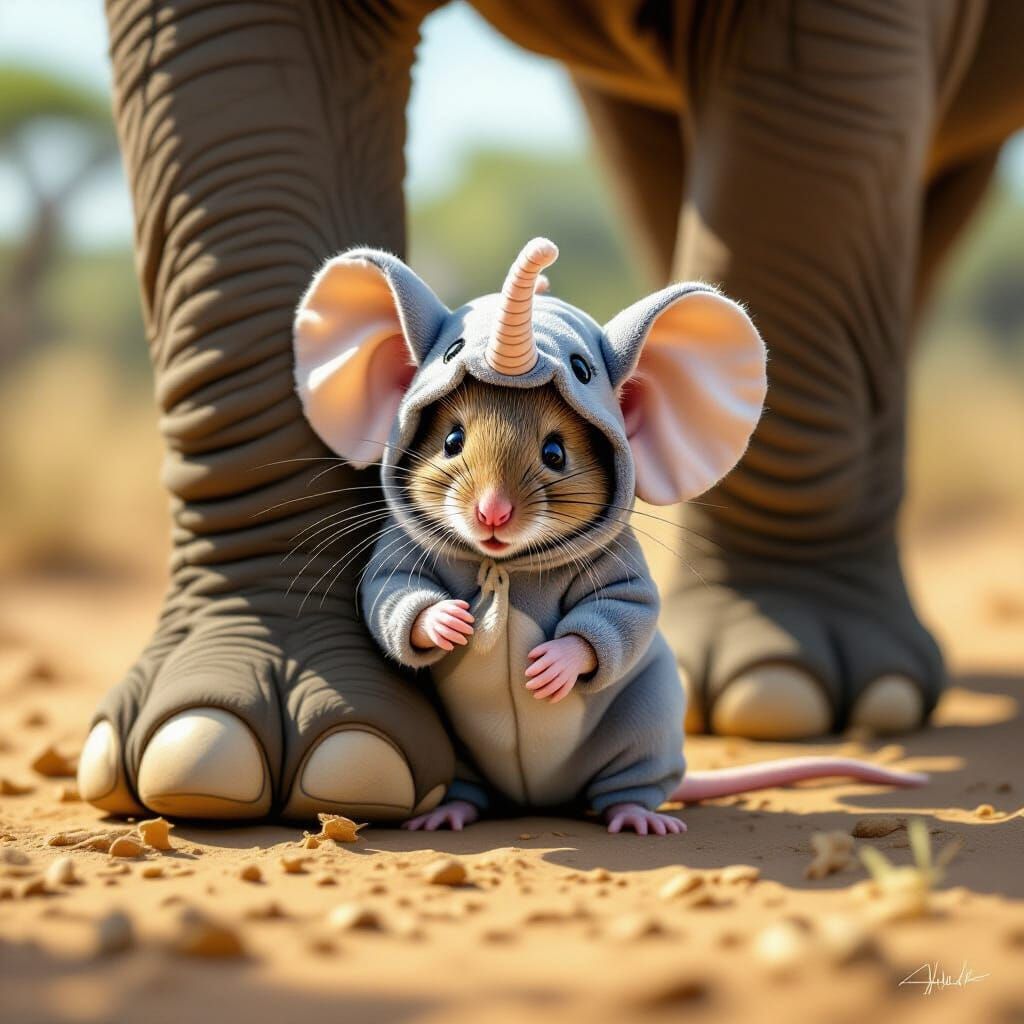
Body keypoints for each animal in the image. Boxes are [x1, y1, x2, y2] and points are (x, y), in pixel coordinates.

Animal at [79, 0, 1024, 821]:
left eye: (559, 454)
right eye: (451, 438)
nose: (494, 517)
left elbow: (624, 615)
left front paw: (590, 671)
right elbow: (393, 594)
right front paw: (224, 753)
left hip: (642, 732)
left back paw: (685, 777)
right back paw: (446, 809)